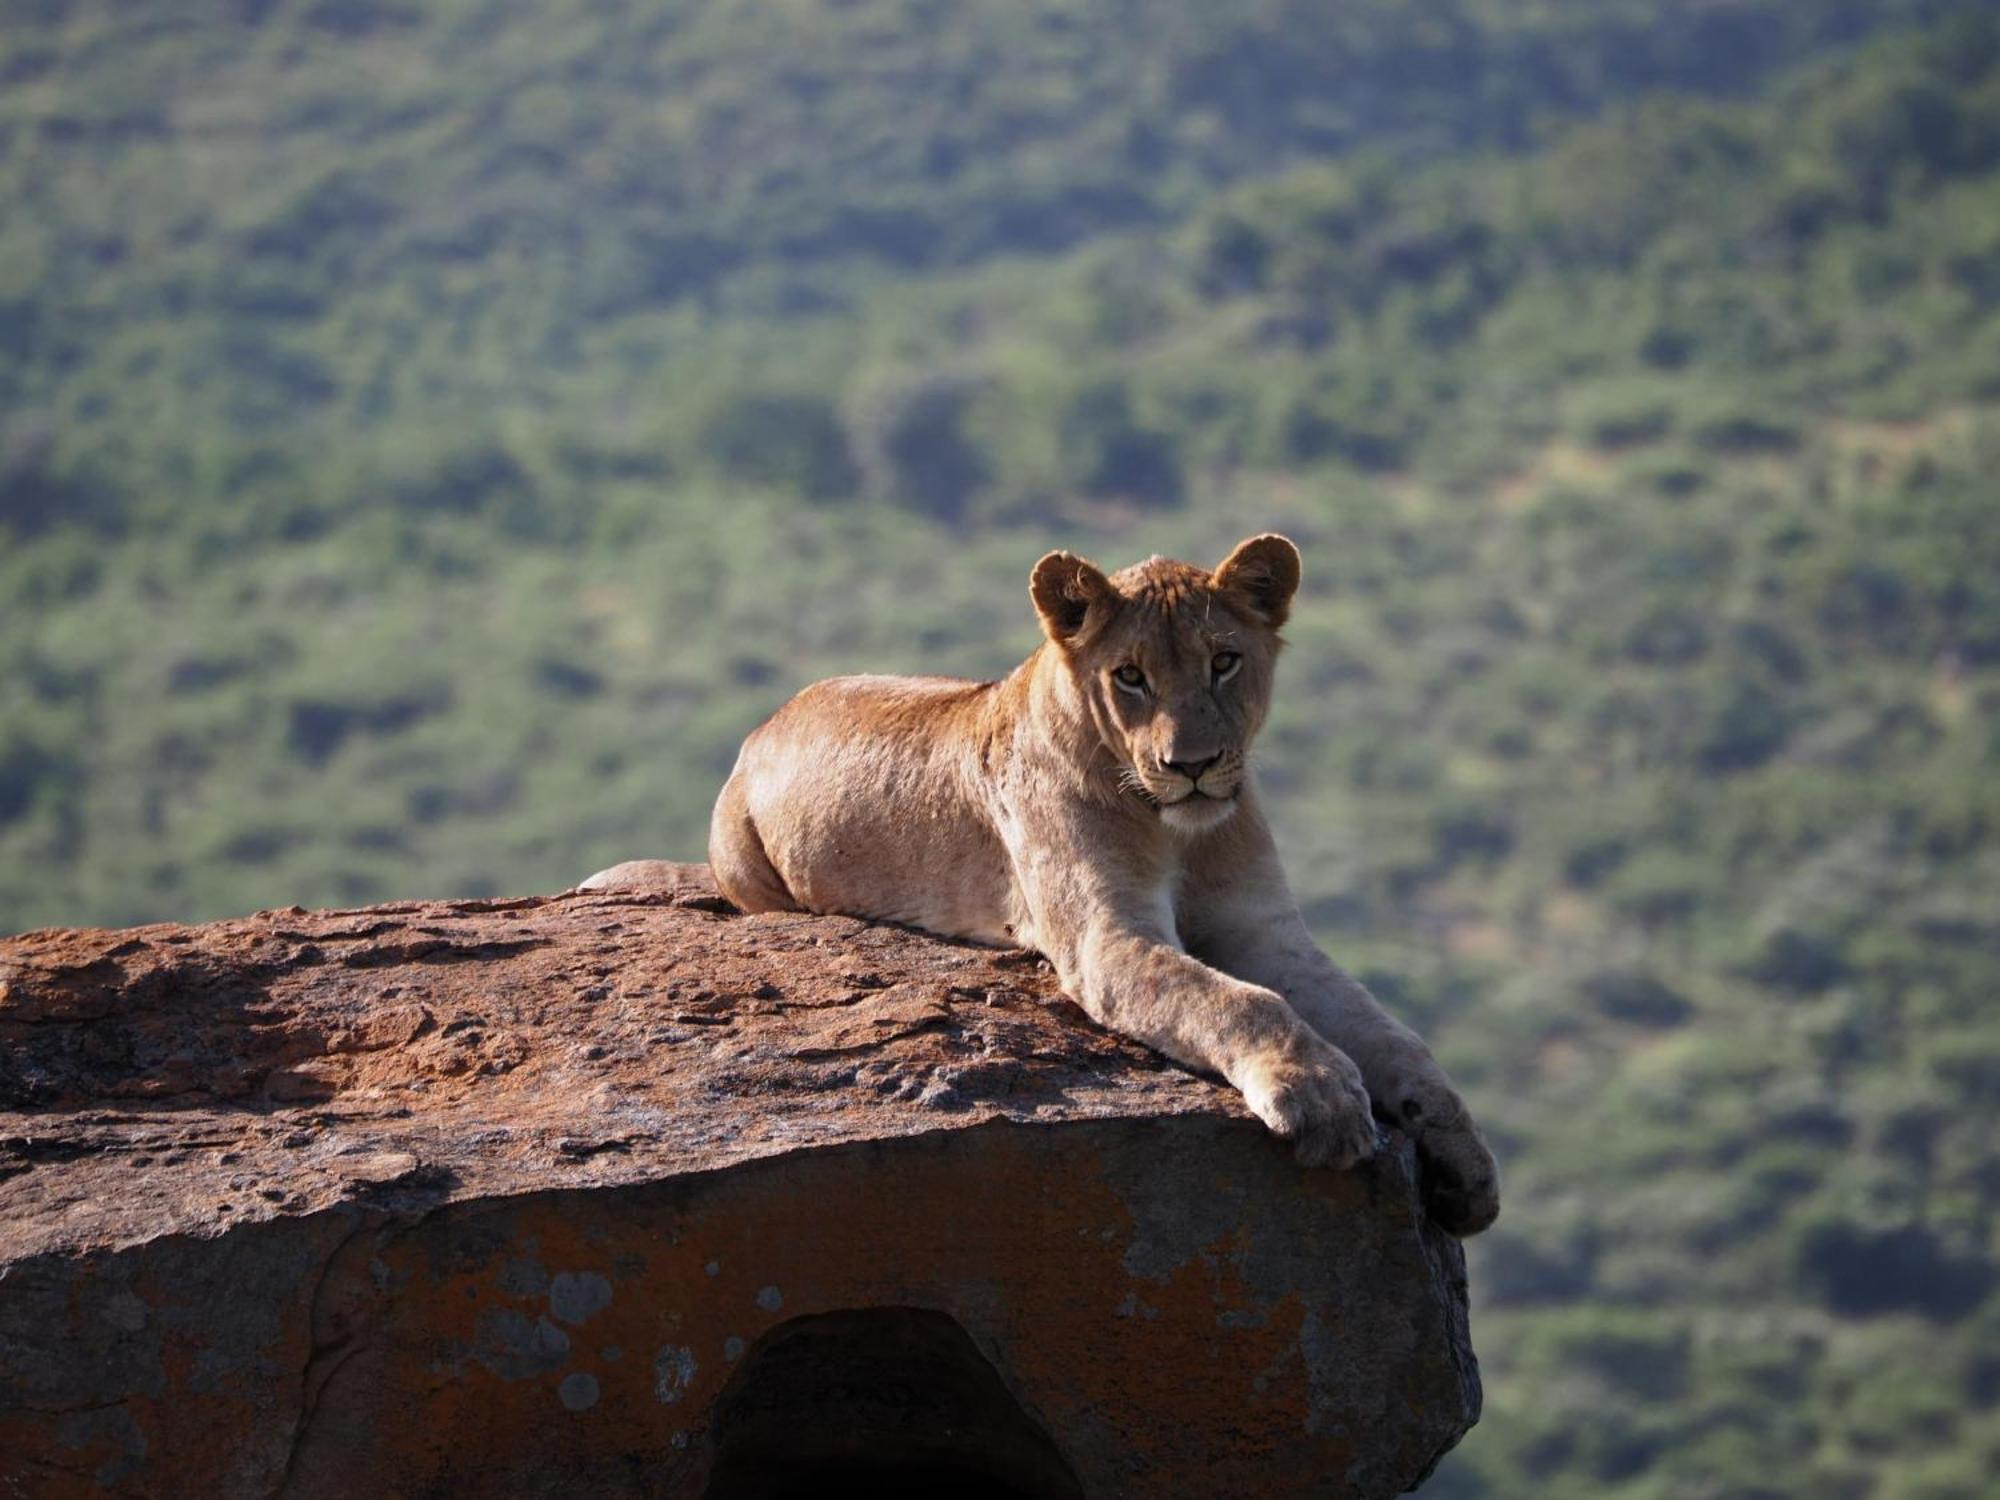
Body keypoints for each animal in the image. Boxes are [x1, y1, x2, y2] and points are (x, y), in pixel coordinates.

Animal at [592, 536, 1504, 1240]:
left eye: (1224, 661)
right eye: (1130, 676)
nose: (1193, 765)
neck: (1178, 830)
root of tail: (770, 719)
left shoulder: (1265, 930)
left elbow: (1391, 1034)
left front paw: (1464, 1159)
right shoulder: (1108, 937)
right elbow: (1240, 1002)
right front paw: (1318, 1094)